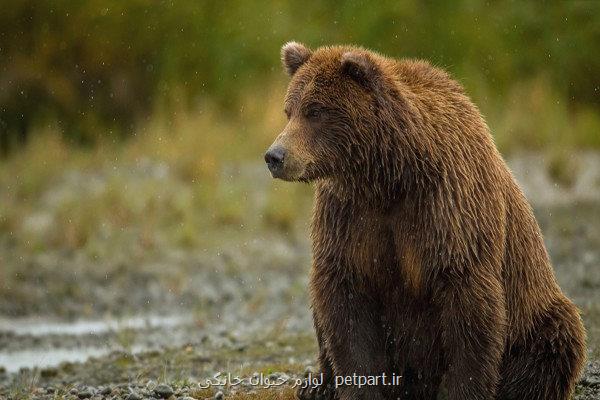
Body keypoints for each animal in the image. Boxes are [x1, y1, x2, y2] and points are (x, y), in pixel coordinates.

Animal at [264, 42, 584, 398]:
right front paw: (358, 387)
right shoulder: (349, 217)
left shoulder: (447, 208)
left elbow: (467, 304)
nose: (275, 156)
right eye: (289, 110)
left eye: (315, 111)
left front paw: (461, 390)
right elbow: (345, 301)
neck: (388, 176)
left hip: (535, 315)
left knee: (554, 342)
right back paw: (317, 385)